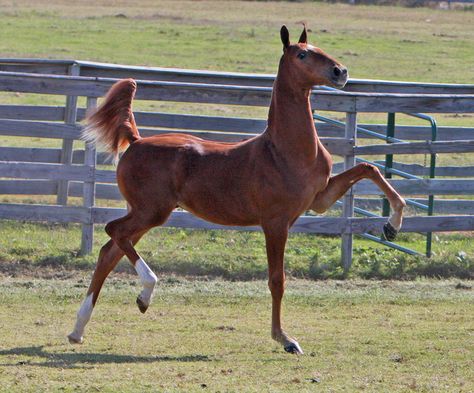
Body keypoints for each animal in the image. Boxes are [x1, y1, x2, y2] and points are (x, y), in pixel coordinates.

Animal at [68, 26, 406, 354]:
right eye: (302, 54)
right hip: (151, 212)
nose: (340, 71)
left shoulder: (319, 199)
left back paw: (78, 330)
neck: (286, 150)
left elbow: (368, 168)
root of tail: (136, 142)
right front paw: (284, 339)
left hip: (145, 214)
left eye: (319, 48)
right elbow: (277, 280)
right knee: (114, 233)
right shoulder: (276, 222)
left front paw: (392, 226)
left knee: (109, 251)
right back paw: (144, 295)